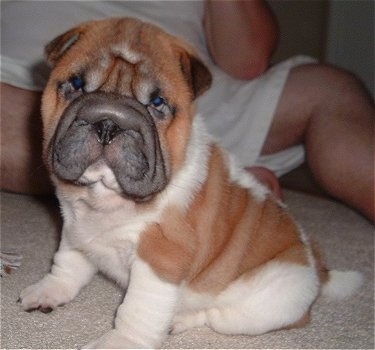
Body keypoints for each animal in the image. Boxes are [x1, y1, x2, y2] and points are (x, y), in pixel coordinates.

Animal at [19, 17, 362, 348]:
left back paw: (179, 320)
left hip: (260, 307)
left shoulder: (161, 256)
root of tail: (317, 270)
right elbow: (68, 262)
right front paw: (49, 290)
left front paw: (121, 341)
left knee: (215, 315)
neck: (103, 199)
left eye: (157, 102)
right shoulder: (75, 228)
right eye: (76, 85)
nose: (108, 122)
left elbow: (138, 310)